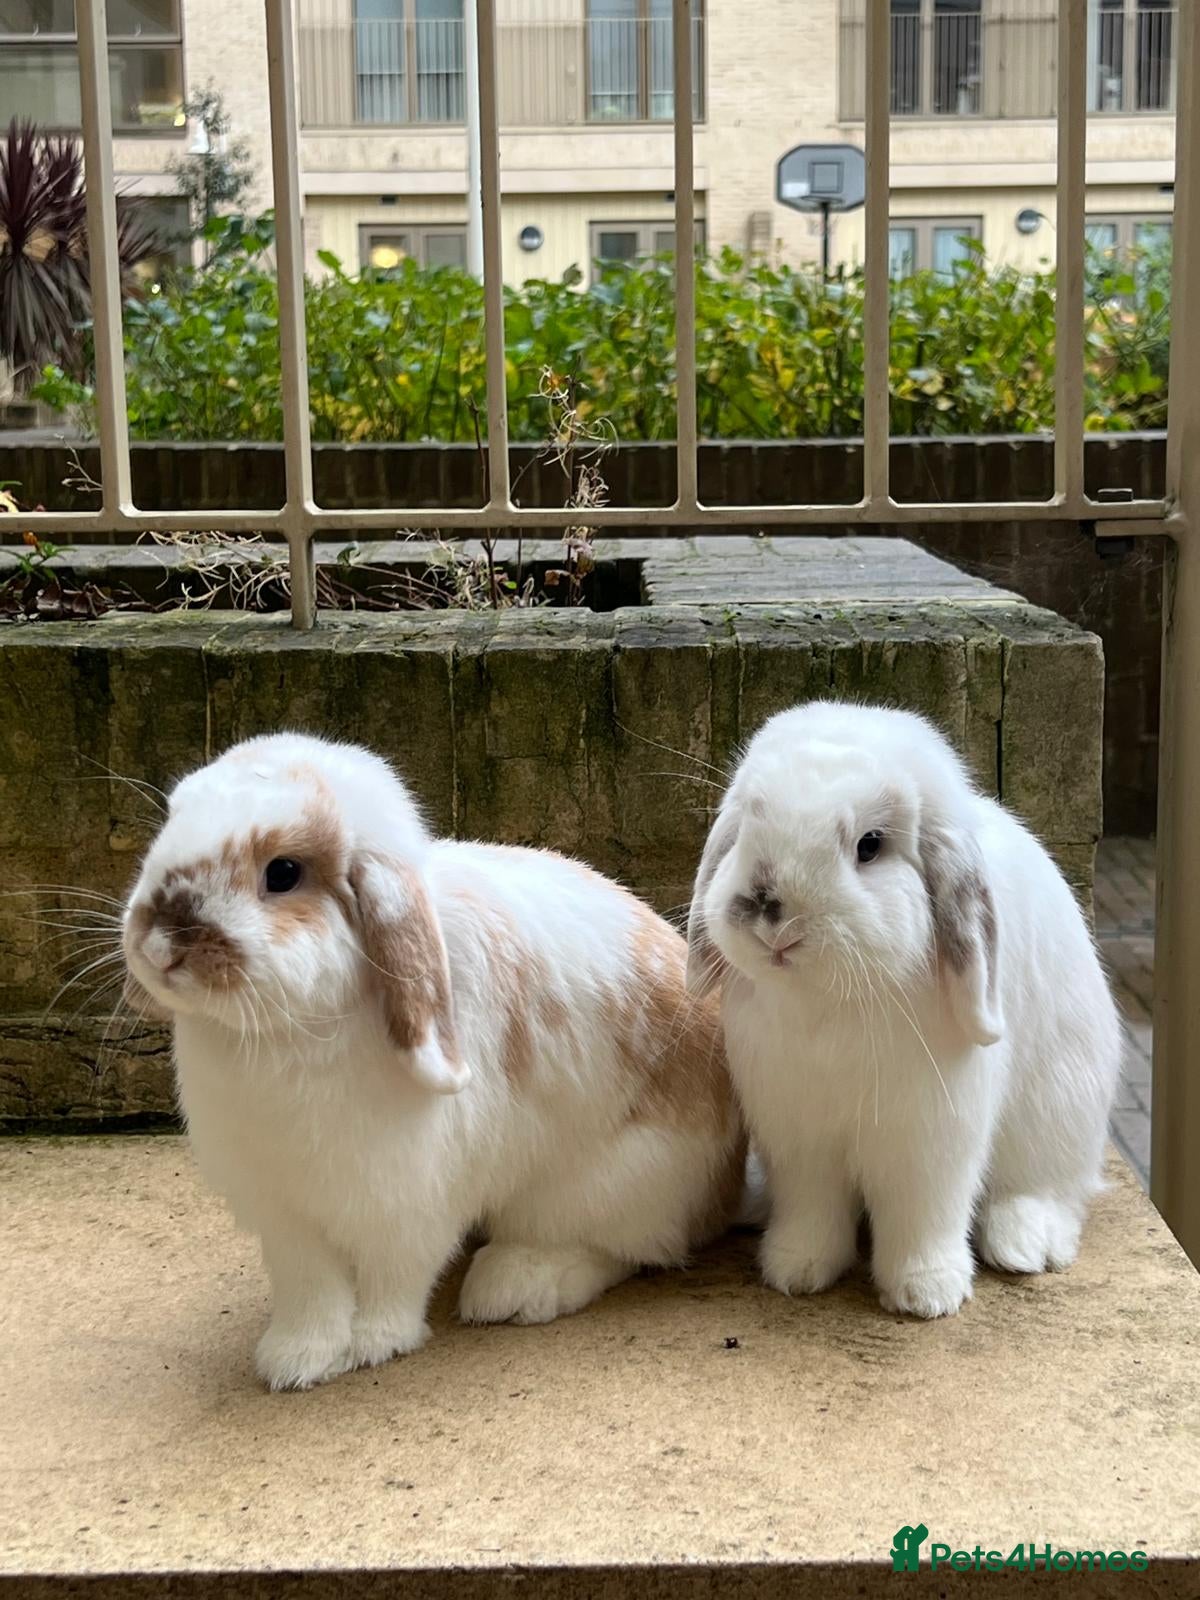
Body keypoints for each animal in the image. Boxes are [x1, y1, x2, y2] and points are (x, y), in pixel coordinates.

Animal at [122, 732, 744, 1389]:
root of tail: (725, 1190)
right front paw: (295, 1361)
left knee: (621, 1247)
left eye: (283, 873)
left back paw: (517, 1285)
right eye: (172, 819)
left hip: (612, 1184)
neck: (280, 1034)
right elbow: (309, 1289)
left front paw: (374, 1344)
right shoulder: (285, 1214)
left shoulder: (408, 1201)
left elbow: (392, 1276)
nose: (159, 946)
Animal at [686, 700, 1121, 1320]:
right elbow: (811, 1210)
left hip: (1060, 1116)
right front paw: (797, 1271)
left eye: (870, 845)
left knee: (1048, 1189)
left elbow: (922, 1215)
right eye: (747, 825)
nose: (769, 909)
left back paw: (1024, 1245)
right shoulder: (799, 1142)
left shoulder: (928, 1142)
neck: (830, 1004)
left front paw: (926, 1294)